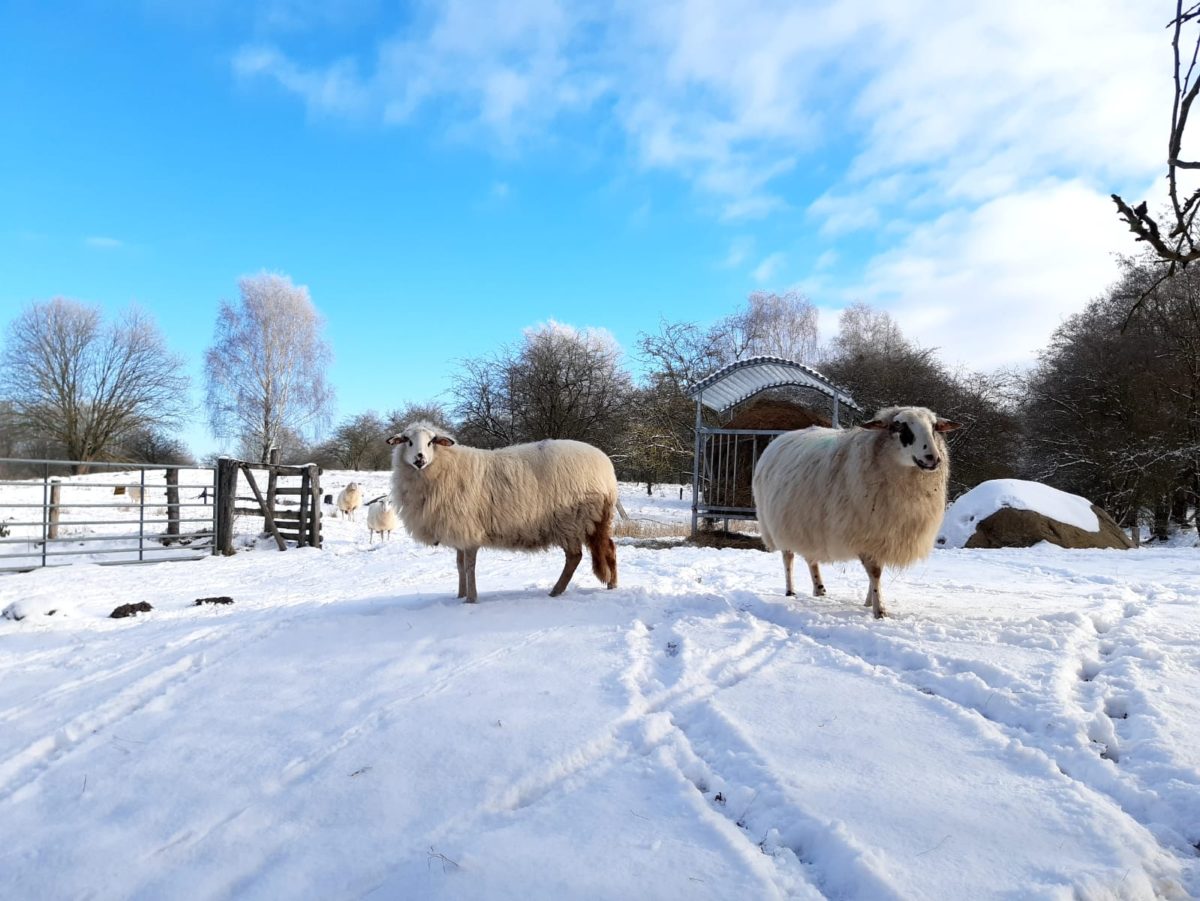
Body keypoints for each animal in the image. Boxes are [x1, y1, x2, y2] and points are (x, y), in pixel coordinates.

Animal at [386, 422, 619, 607]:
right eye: (407, 441)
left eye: (431, 442)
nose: (420, 458)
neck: (442, 468)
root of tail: (607, 470)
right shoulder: (459, 531)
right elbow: (459, 566)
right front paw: (459, 596)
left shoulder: (469, 529)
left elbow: (469, 567)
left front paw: (471, 600)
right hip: (593, 519)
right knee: (608, 548)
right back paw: (612, 585)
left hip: (571, 519)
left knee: (574, 557)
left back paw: (556, 591)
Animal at [753, 407, 960, 619]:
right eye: (898, 427)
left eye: (934, 427)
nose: (933, 458)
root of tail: (781, 438)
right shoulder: (865, 534)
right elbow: (875, 573)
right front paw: (879, 610)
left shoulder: (882, 535)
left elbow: (876, 573)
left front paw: (869, 601)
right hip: (777, 524)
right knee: (788, 559)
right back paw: (791, 591)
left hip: (809, 524)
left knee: (812, 559)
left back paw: (819, 589)